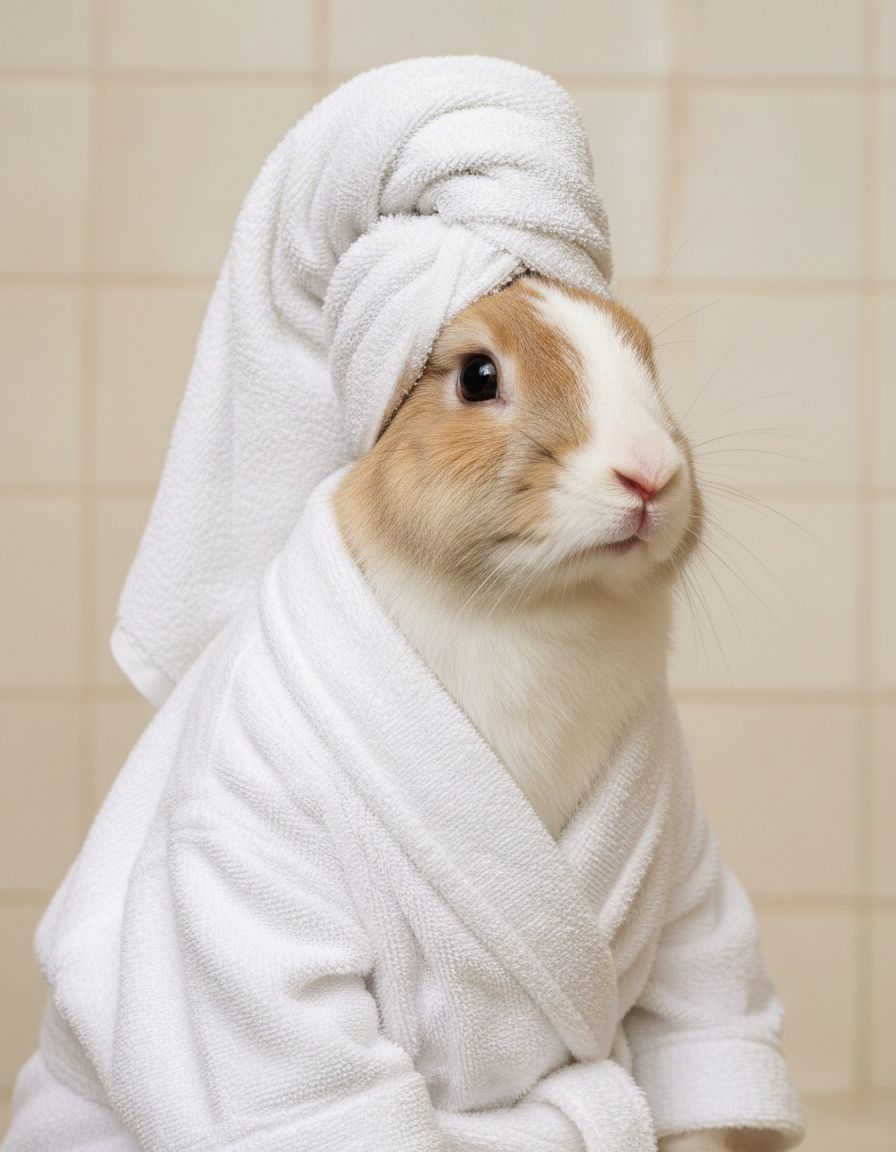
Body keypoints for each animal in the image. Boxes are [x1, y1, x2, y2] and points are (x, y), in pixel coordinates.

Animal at [334, 272, 786, 1152]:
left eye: (645, 355)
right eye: (478, 376)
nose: (649, 474)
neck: (539, 605)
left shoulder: (691, 904)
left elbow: (702, 1035)